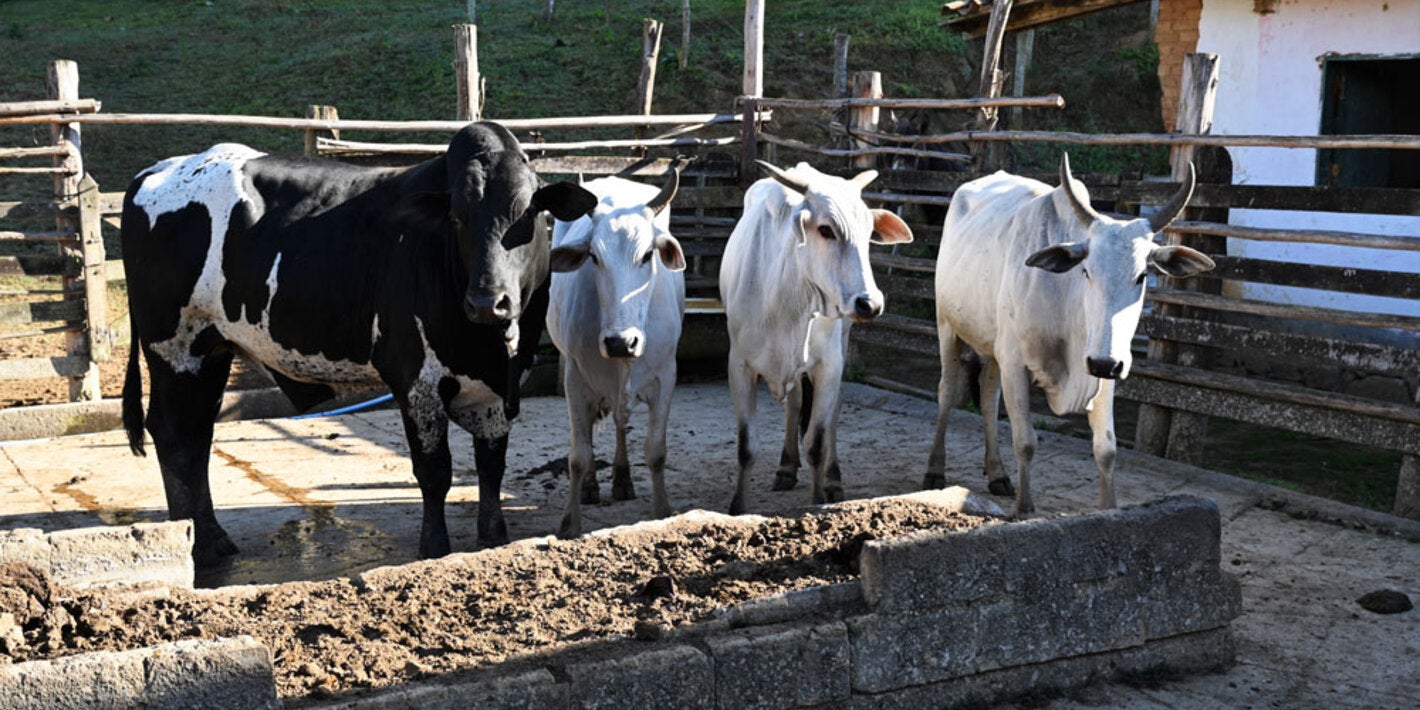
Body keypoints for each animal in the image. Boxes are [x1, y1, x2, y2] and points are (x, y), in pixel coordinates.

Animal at [120, 122, 598, 566]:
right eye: (457, 218)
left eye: (527, 214)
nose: (487, 301)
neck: (490, 346)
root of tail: (154, 172)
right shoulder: (416, 380)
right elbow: (434, 470)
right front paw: (434, 547)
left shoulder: (497, 388)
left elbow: (492, 465)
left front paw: (494, 537)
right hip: (174, 349)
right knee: (175, 434)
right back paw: (197, 542)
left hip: (211, 352)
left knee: (197, 434)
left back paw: (211, 537)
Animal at [546, 169, 687, 538]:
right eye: (594, 257)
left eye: (648, 255)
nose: (621, 342)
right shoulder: (576, 381)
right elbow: (579, 456)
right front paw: (570, 521)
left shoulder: (666, 376)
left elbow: (656, 451)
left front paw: (662, 511)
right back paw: (592, 486)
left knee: (622, 423)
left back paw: (622, 478)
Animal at [720, 161, 913, 514]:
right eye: (826, 230)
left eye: (868, 233)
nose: (870, 303)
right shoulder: (739, 365)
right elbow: (746, 445)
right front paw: (737, 508)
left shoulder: (829, 366)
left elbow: (817, 442)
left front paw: (819, 498)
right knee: (795, 403)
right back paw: (786, 467)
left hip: (842, 341)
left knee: (832, 409)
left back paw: (833, 477)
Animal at [925, 153, 1214, 516]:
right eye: (1086, 271)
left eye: (1143, 275)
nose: (1104, 363)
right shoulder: (1016, 362)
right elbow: (1025, 441)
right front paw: (1025, 509)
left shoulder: (1104, 368)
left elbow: (1106, 449)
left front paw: (1109, 508)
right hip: (947, 326)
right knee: (947, 392)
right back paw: (935, 470)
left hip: (993, 348)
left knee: (989, 399)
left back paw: (998, 474)